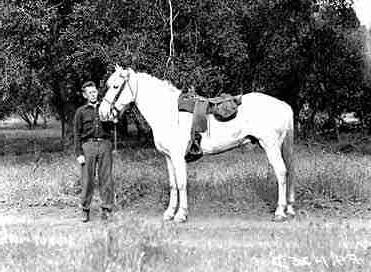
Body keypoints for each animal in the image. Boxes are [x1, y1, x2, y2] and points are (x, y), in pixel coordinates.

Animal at [99, 66, 296, 223]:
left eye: (116, 86)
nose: (102, 112)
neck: (168, 113)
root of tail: (283, 105)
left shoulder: (178, 157)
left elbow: (181, 184)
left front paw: (181, 215)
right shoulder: (168, 157)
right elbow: (172, 184)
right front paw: (169, 213)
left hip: (270, 147)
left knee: (281, 173)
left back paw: (280, 212)